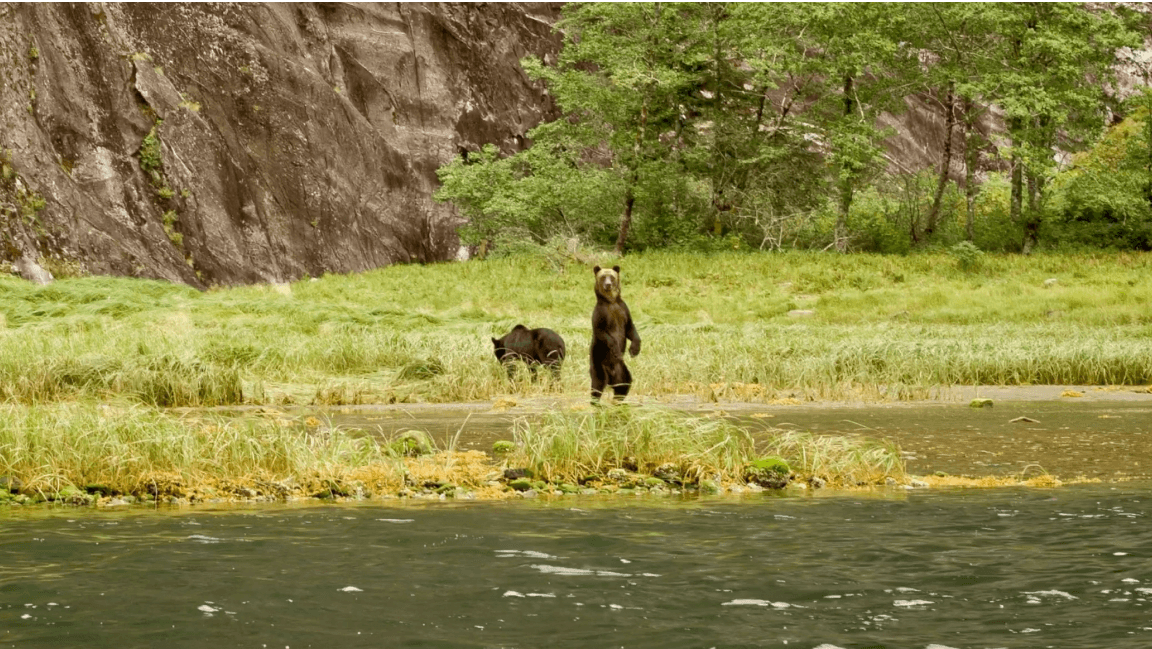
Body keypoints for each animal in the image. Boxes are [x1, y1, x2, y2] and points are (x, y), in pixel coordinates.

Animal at [589, 263, 645, 401]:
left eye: (612, 277)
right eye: (603, 277)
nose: (608, 284)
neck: (611, 301)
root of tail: (611, 378)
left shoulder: (623, 310)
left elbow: (631, 329)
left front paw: (634, 350)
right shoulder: (601, 314)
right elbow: (602, 333)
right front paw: (617, 350)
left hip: (622, 370)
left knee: (625, 384)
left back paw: (618, 400)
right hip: (598, 361)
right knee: (597, 384)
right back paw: (596, 402)